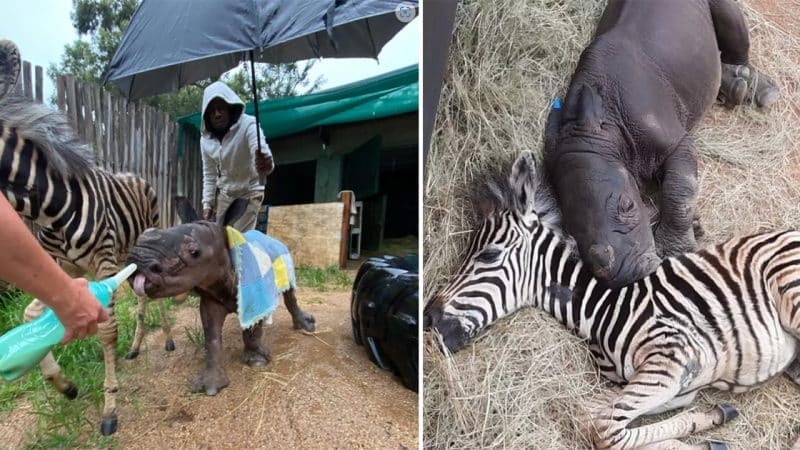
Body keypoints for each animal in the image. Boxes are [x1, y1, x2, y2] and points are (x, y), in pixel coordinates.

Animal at [127, 197, 316, 394]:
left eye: (194, 252)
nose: (138, 259)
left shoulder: (256, 296)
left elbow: (252, 330)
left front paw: (257, 362)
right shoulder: (211, 298)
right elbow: (212, 336)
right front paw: (211, 386)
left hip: (285, 257)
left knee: (289, 290)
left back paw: (306, 326)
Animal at [424, 152, 800, 450]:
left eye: (488, 255)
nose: (428, 318)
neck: (602, 309)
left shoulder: (674, 359)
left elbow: (604, 430)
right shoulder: (676, 386)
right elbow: (589, 415)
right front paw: (711, 422)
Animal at [548, 0, 780, 288]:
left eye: (628, 206)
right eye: (571, 232)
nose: (625, 274)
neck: (604, 131)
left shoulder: (674, 142)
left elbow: (679, 188)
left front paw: (675, 250)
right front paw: (694, 226)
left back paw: (755, 90)